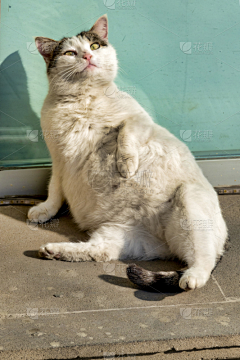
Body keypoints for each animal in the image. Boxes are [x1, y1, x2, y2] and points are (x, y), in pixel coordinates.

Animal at [28, 13, 227, 292]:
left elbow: (125, 132)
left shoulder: (140, 120)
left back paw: (192, 277)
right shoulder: (58, 161)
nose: (87, 56)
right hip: (116, 233)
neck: (83, 100)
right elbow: (54, 191)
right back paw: (54, 250)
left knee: (204, 260)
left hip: (189, 199)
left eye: (94, 46)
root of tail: (161, 241)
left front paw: (125, 165)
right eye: (70, 52)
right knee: (100, 252)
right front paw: (45, 210)